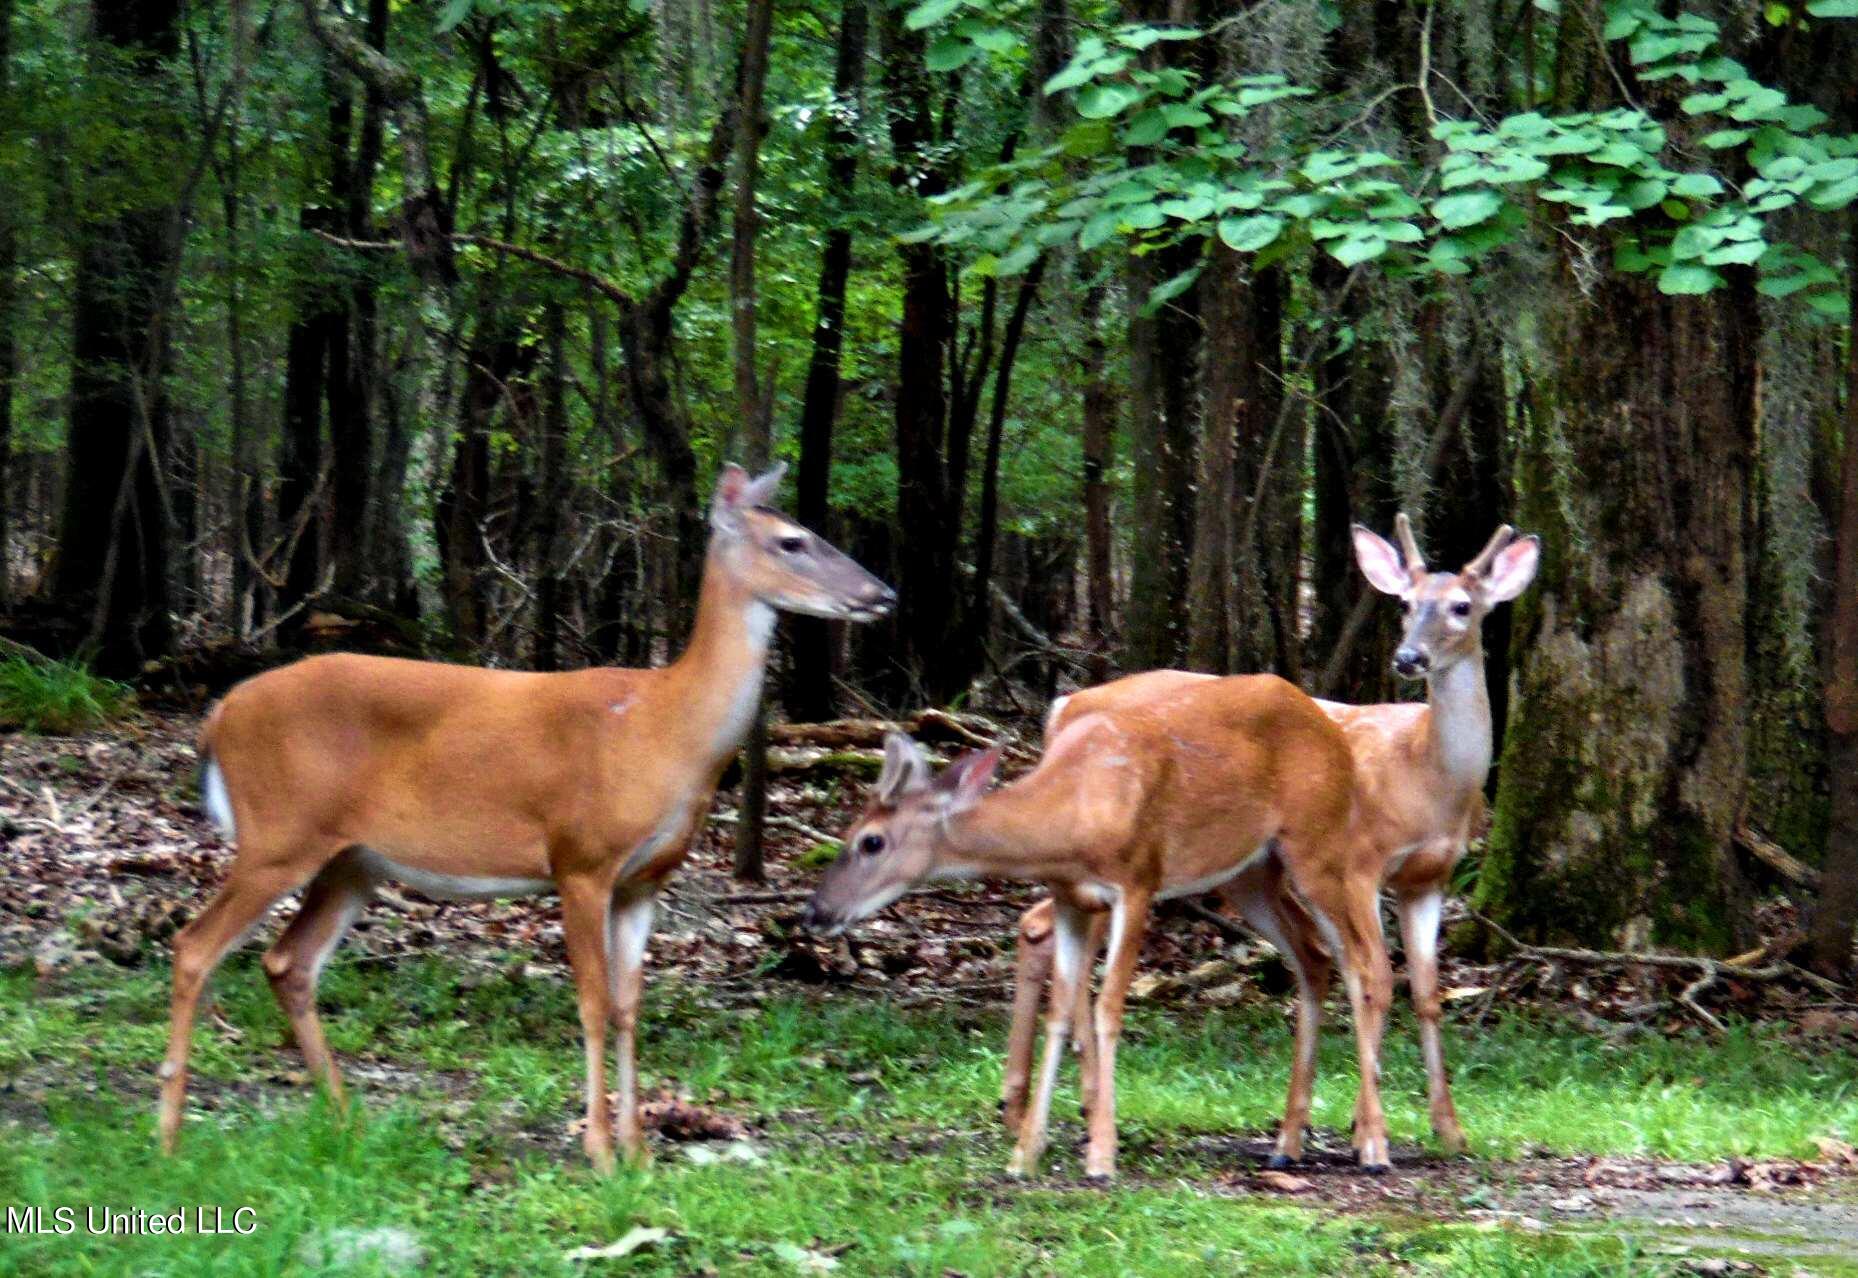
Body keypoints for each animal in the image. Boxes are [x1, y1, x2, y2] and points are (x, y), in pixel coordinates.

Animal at [160, 463, 894, 1172]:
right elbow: (593, 1000)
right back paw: (168, 1135)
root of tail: (219, 714)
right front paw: (601, 1151)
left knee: (289, 962)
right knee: (195, 945)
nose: (883, 593)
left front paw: (639, 1151)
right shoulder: (581, 857)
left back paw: (347, 1122)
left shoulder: (644, 882)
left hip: (351, 861)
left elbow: (630, 1005)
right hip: (277, 834)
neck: (664, 730)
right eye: (792, 541)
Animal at [803, 674, 1397, 1179]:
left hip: (1317, 845)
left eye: (871, 841)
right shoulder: (1073, 899)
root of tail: (1328, 724)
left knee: (1364, 963)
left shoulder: (1137, 881)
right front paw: (1026, 1155)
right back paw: (1287, 1143)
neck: (1073, 814)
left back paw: (1372, 1145)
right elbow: (1063, 1011)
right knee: (1315, 957)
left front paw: (1101, 1156)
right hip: (1250, 874)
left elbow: (1110, 1006)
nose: (816, 912)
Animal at [1000, 517, 1540, 1166]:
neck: (1425, 774)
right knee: (1043, 926)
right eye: (1406, 604)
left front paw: (1449, 1130)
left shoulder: (1426, 880)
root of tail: (1062, 705)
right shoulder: (1361, 863)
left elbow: (1428, 992)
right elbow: (1378, 980)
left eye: (1462, 605)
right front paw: (1368, 1131)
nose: (1410, 656)